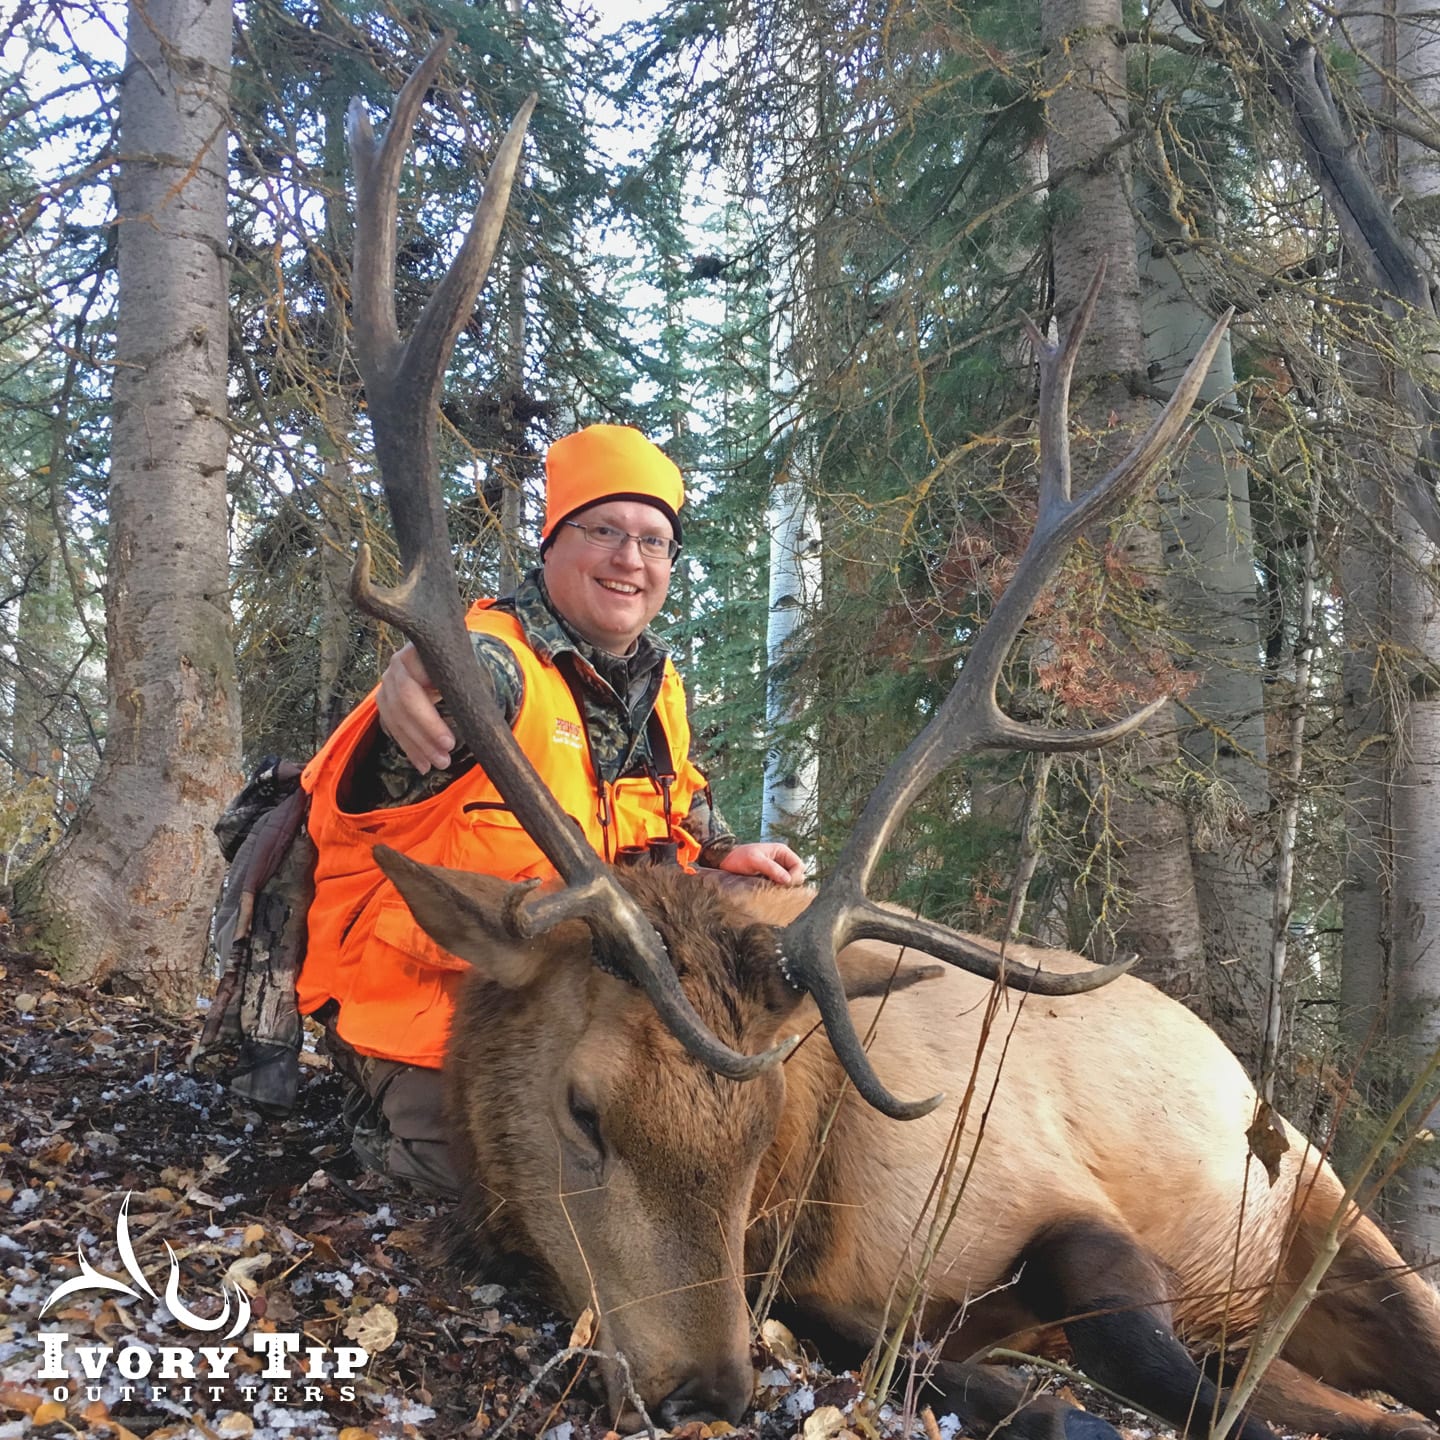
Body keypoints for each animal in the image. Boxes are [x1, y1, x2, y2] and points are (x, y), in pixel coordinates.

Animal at [337, 43, 1440, 1440]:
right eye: (580, 1110)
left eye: (757, 1134)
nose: (704, 1390)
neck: (820, 1197)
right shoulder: (856, 1299)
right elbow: (963, 1362)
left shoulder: (1044, 1186)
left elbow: (1134, 1336)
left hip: (1324, 1195)